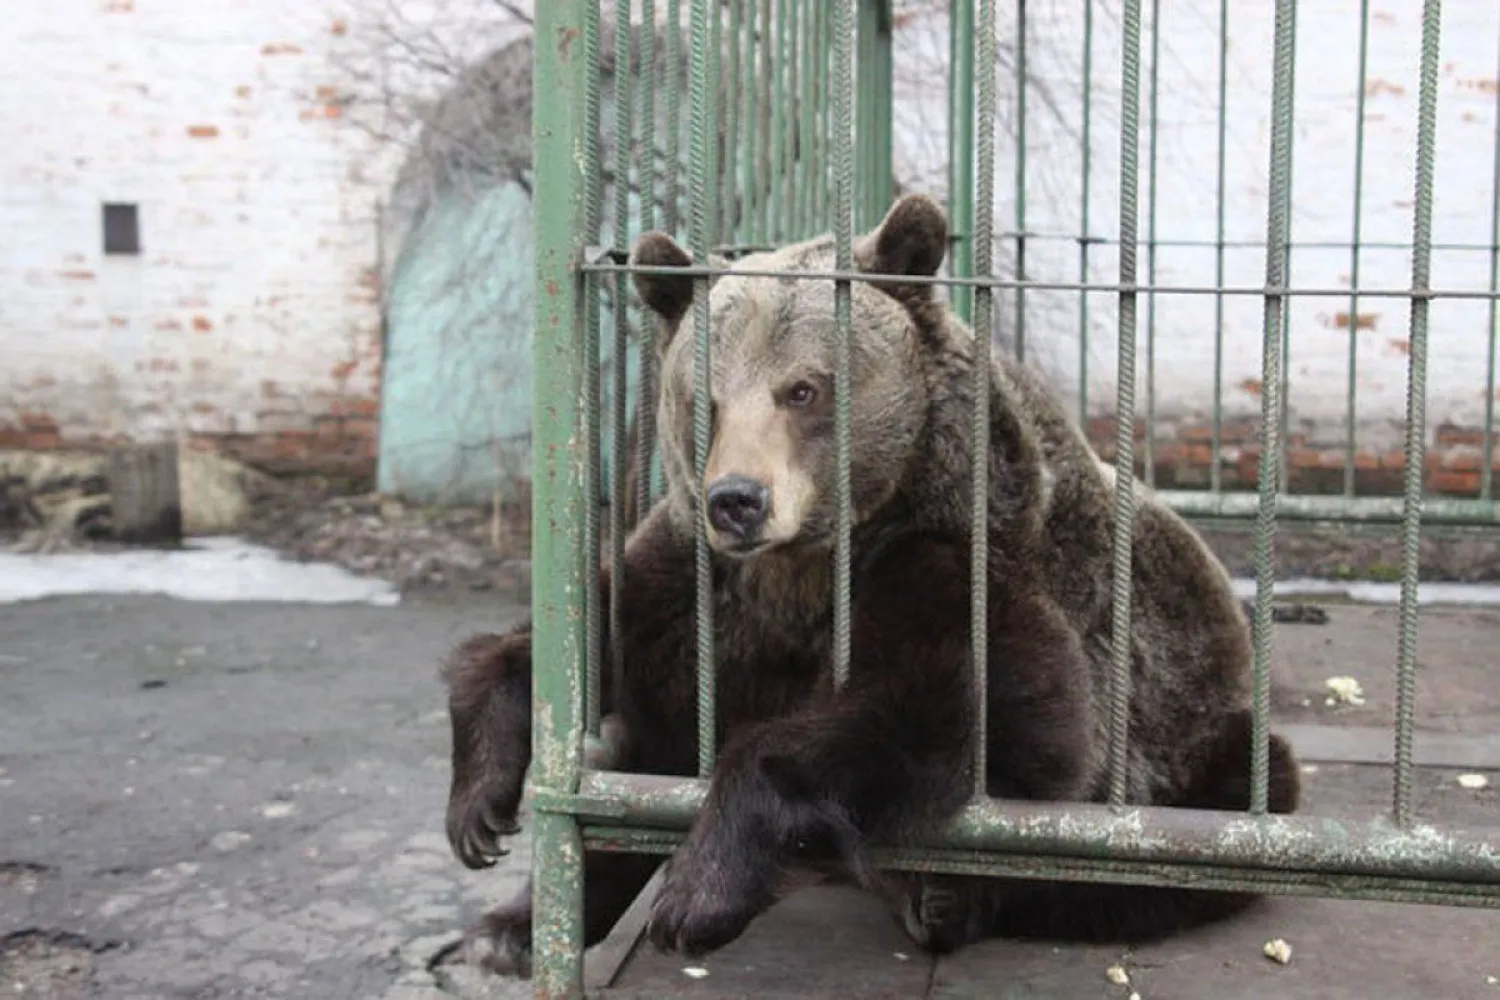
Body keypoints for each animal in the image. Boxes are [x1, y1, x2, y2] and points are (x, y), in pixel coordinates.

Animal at [441, 191, 1302, 971]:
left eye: (803, 389)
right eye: (706, 401)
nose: (738, 500)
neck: (809, 561)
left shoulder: (954, 558)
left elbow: (970, 715)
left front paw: (698, 891)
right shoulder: (702, 585)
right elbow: (596, 649)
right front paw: (481, 801)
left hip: (1191, 744)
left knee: (1186, 836)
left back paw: (944, 900)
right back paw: (509, 931)